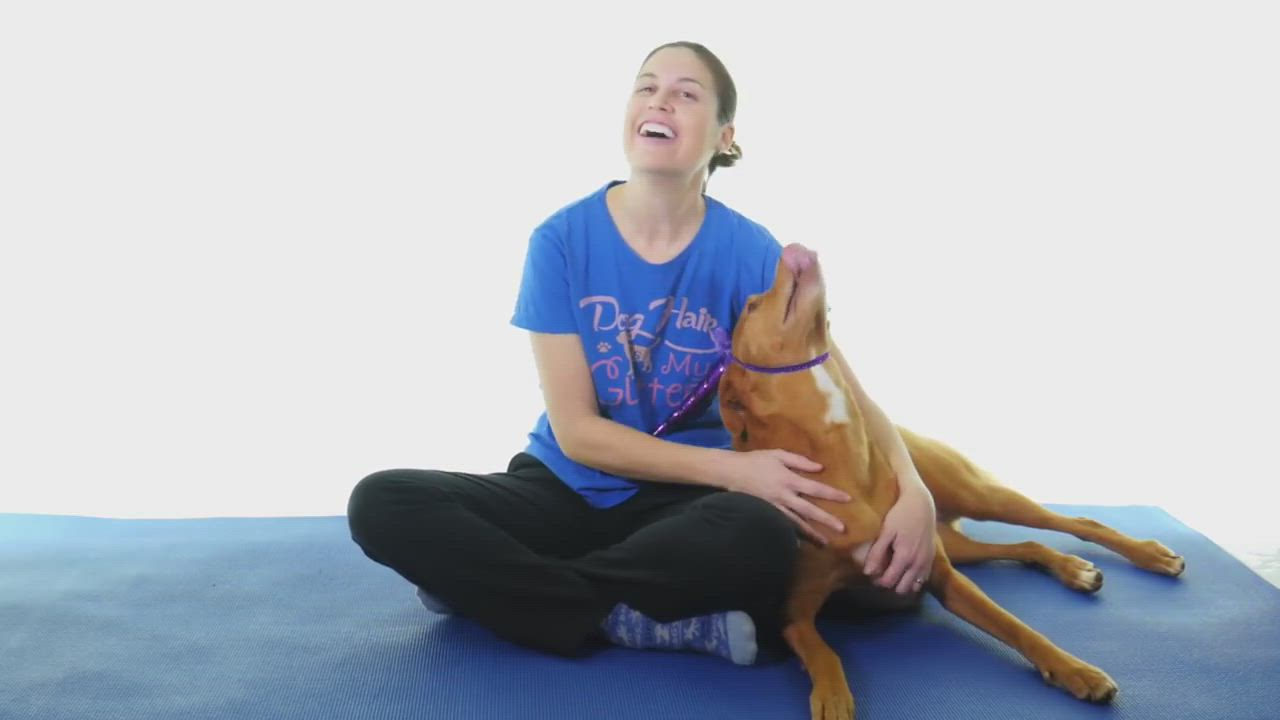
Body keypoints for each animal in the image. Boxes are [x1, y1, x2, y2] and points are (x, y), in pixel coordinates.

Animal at [717, 243, 1186, 720]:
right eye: (751, 306)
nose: (793, 248)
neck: (841, 459)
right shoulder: (795, 614)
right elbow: (825, 655)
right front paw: (832, 698)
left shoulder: (942, 578)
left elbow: (1020, 628)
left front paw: (1077, 670)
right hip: (950, 541)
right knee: (1026, 545)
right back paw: (1073, 569)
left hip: (976, 500)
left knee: (1074, 523)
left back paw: (1146, 557)